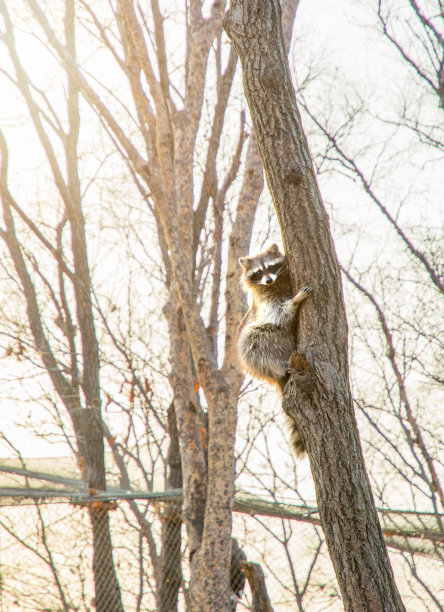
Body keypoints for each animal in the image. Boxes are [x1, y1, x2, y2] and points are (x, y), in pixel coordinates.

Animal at [236, 243, 312, 454]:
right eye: (258, 272)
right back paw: (279, 365)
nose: (268, 279)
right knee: (253, 340)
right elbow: (279, 314)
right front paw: (294, 302)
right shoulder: (264, 301)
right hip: (256, 354)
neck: (274, 285)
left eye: (270, 267)